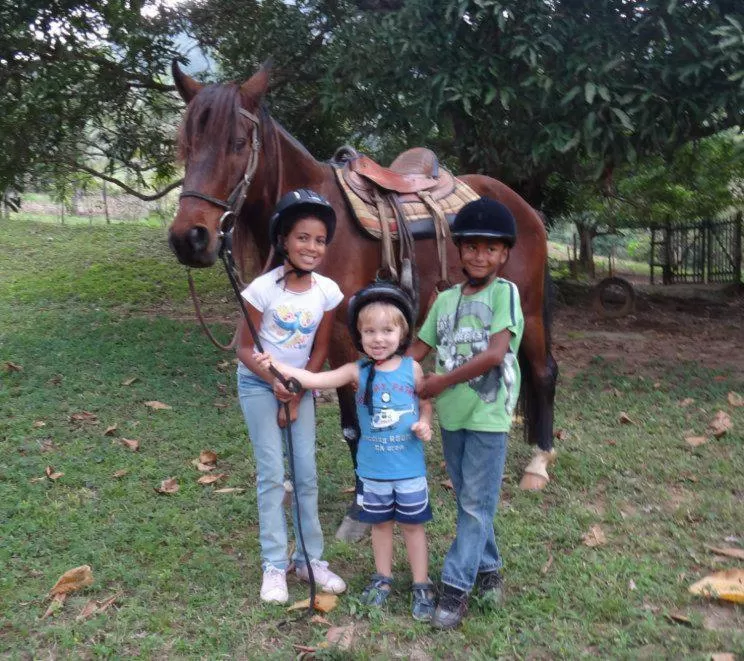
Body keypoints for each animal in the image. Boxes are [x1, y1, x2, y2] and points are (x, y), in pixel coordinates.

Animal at [167, 63, 559, 541]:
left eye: (238, 143)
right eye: (185, 146)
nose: (189, 238)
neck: (318, 220)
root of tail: (523, 207)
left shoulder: (343, 333)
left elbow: (355, 421)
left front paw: (360, 507)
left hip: (530, 309)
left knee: (543, 371)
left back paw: (539, 462)